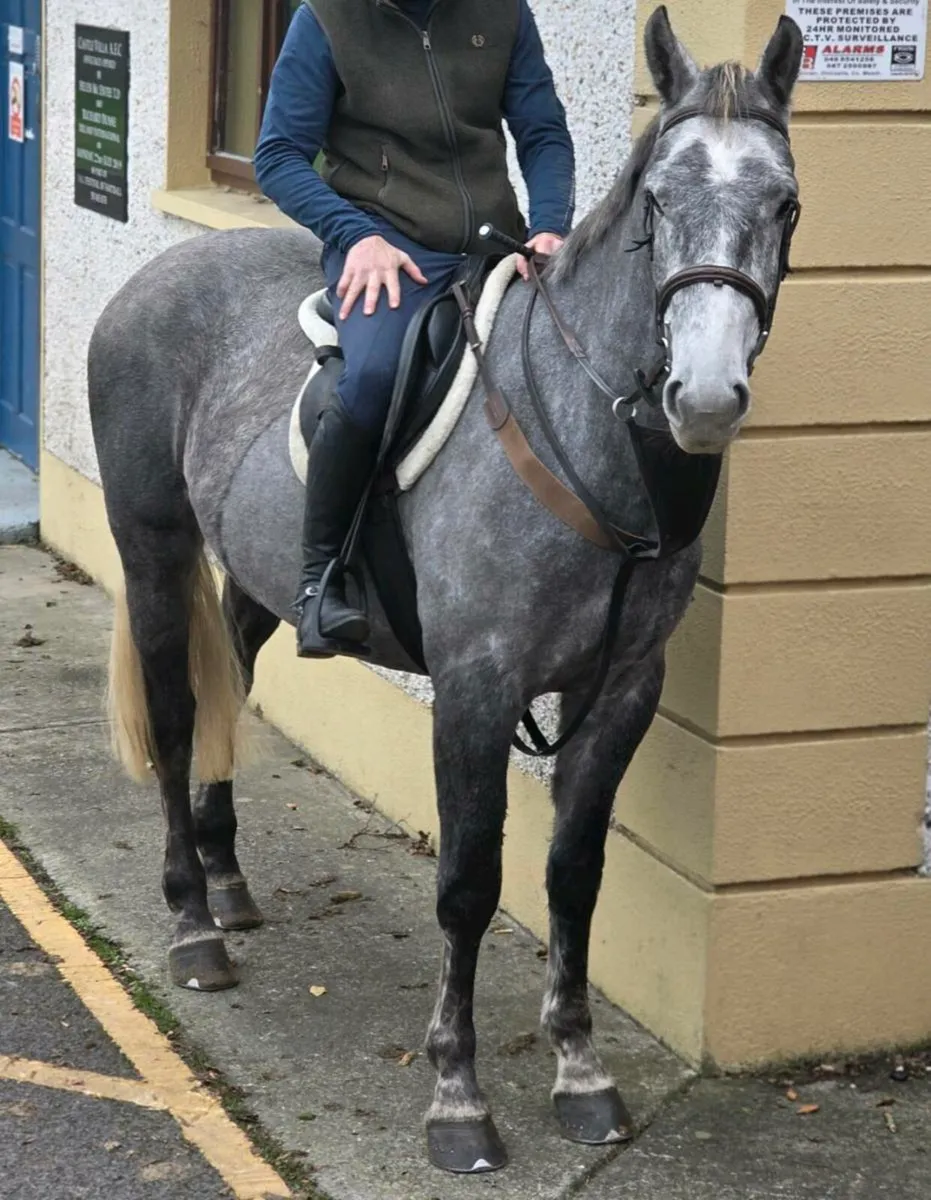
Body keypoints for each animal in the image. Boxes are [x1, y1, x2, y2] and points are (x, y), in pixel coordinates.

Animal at [88, 7, 802, 1175]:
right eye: (658, 198)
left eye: (783, 202)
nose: (702, 397)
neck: (580, 431)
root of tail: (157, 276)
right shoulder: (474, 688)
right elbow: (469, 885)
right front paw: (457, 1098)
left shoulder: (620, 691)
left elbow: (572, 874)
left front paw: (581, 1073)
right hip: (152, 550)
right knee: (179, 711)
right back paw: (192, 922)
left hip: (260, 577)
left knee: (231, 681)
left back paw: (229, 883)